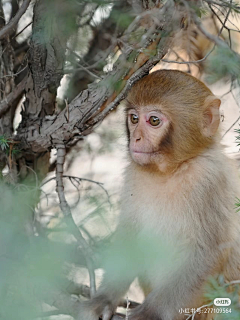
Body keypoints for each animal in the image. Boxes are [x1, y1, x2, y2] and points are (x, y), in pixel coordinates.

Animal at [78, 70, 240, 320]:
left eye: (154, 121)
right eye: (134, 119)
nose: (136, 138)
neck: (170, 171)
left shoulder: (211, 179)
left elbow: (210, 251)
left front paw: (150, 313)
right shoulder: (135, 174)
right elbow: (130, 235)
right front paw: (103, 300)